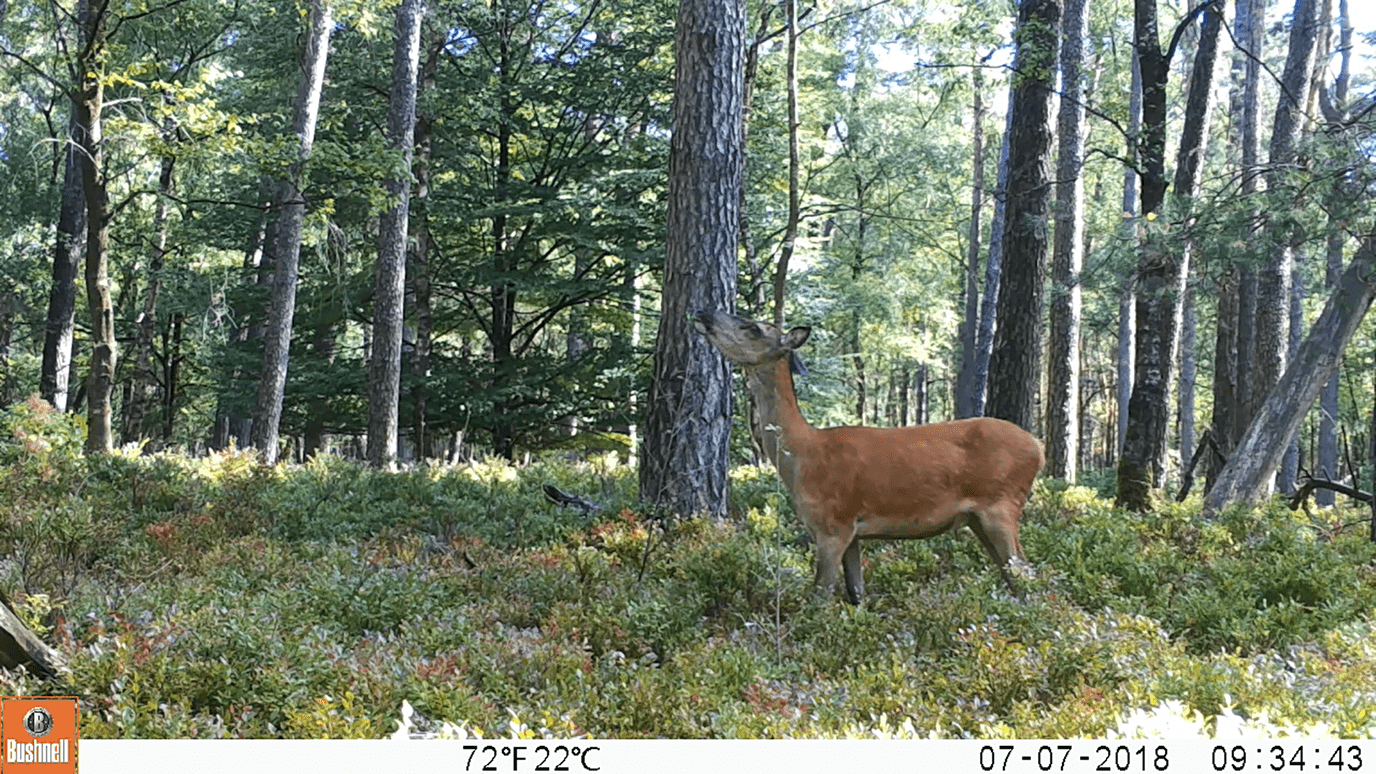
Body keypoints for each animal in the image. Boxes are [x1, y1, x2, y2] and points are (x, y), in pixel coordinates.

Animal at [693, 308, 1034, 603]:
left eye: (752, 327)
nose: (703, 312)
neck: (803, 455)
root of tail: (1038, 448)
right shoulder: (852, 533)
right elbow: (856, 593)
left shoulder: (833, 524)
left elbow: (820, 595)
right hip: (978, 519)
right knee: (1012, 575)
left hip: (1001, 504)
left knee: (1026, 574)